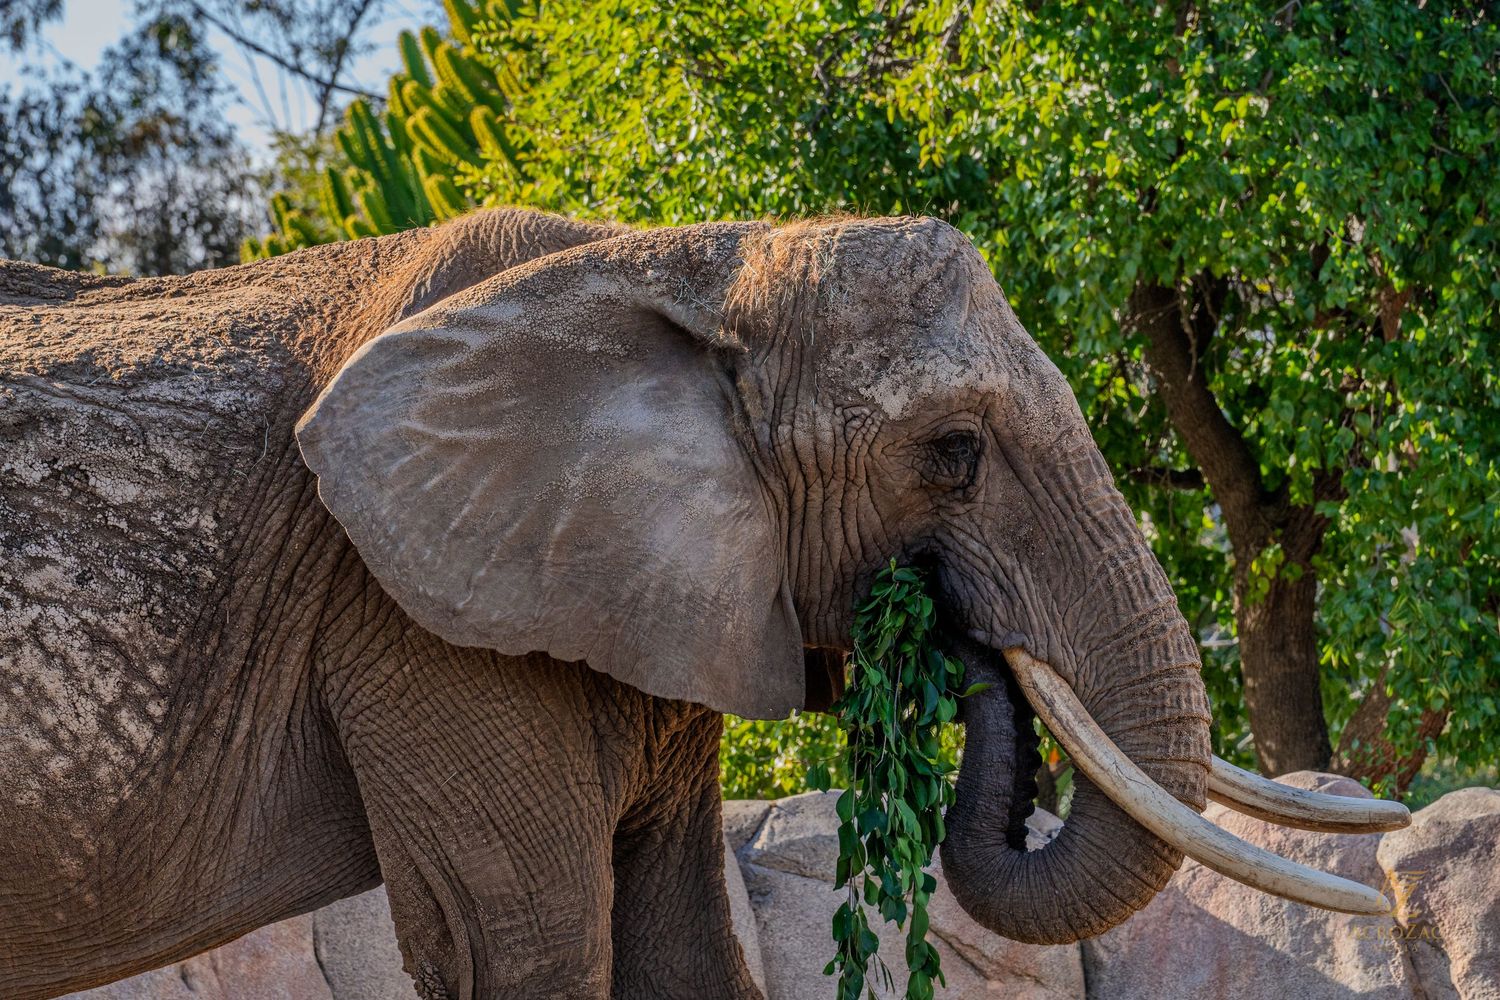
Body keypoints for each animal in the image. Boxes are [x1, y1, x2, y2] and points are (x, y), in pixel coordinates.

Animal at [0, 208, 1407, 999]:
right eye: (952, 452)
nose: (958, 639)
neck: (685, 263)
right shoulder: (413, 611)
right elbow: (527, 945)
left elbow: (684, 950)